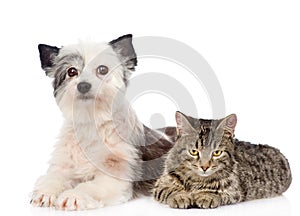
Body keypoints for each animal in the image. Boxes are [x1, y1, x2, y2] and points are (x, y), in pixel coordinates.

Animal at [29, 34, 176, 210]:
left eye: (102, 69)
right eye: (72, 71)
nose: (83, 85)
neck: (93, 122)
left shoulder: (114, 178)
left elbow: (89, 186)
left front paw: (73, 195)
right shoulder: (63, 166)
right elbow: (54, 177)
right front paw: (46, 191)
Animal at [152, 110, 290, 208]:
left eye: (217, 153)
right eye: (194, 151)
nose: (204, 167)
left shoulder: (235, 190)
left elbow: (221, 192)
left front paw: (207, 195)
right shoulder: (161, 183)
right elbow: (169, 189)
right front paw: (179, 196)